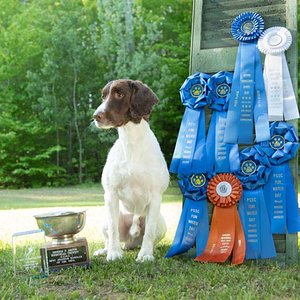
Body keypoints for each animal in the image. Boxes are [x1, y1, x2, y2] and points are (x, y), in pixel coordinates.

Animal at [92, 78, 170, 262]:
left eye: (119, 94)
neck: (131, 142)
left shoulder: (156, 196)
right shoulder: (111, 194)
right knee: (109, 235)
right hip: (106, 219)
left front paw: (146, 255)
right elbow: (113, 230)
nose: (96, 116)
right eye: (103, 96)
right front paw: (113, 254)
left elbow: (149, 232)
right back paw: (105, 250)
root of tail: (130, 242)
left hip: (161, 223)